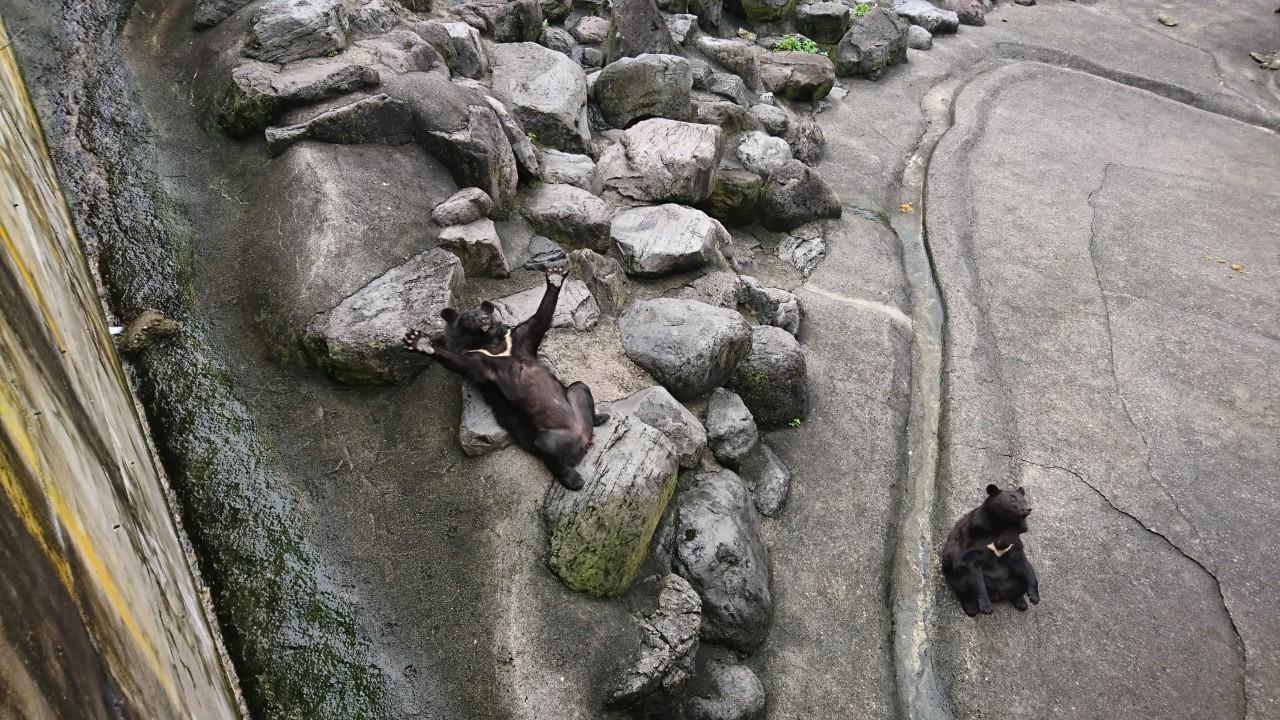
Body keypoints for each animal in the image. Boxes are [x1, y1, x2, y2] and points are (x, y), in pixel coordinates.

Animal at [403, 265, 608, 491]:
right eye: (468, 318)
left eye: (484, 313)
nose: (484, 319)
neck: (492, 344)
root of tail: (585, 438)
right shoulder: (479, 361)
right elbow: (460, 363)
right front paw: (420, 342)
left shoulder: (519, 339)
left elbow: (539, 320)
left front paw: (555, 276)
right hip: (553, 438)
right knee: (546, 448)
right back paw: (575, 480)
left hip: (577, 399)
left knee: (580, 387)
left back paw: (600, 417)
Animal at [941, 484, 1040, 616]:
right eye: (1012, 498)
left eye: (1024, 500)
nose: (1028, 509)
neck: (1003, 524)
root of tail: (998, 595)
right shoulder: (976, 538)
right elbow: (973, 567)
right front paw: (985, 607)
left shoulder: (1013, 540)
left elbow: (1022, 562)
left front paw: (1034, 597)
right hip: (953, 572)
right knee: (962, 587)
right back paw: (971, 609)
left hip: (1013, 580)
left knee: (1021, 583)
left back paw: (1021, 602)